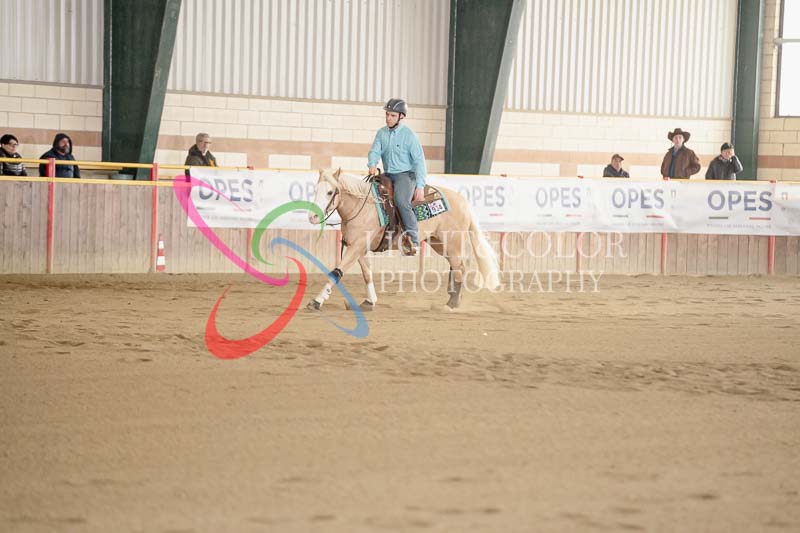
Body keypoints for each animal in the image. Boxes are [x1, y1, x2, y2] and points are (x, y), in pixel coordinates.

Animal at [306, 168, 500, 311]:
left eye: (330, 192)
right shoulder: (358, 247)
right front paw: (370, 301)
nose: (313, 217)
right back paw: (454, 299)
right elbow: (367, 274)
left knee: (460, 268)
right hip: (439, 243)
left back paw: (451, 304)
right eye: (315, 190)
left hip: (452, 243)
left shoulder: (356, 247)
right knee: (458, 267)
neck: (363, 207)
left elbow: (336, 272)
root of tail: (463, 201)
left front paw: (317, 301)